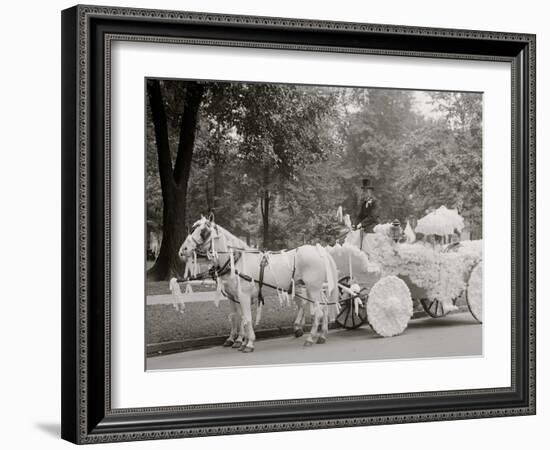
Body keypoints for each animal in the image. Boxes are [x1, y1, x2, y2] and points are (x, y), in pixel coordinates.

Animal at [179, 217, 340, 352]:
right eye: (193, 229)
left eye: (204, 232)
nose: (182, 251)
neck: (236, 260)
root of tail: (320, 251)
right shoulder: (234, 296)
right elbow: (238, 317)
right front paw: (239, 340)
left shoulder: (243, 295)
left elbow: (246, 318)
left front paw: (248, 343)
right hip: (310, 288)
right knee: (323, 307)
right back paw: (321, 335)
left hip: (313, 288)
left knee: (318, 311)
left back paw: (310, 338)